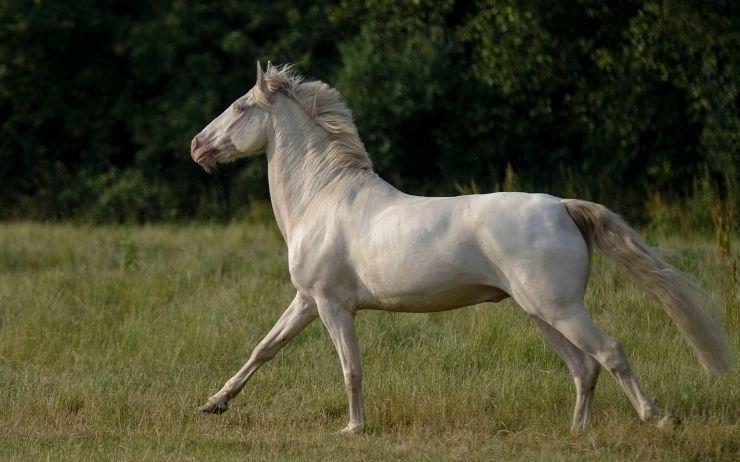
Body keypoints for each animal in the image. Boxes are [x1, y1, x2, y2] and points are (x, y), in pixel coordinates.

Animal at [189, 61, 728, 434]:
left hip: (561, 308)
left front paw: (353, 428)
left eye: (240, 107)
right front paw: (213, 404)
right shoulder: (306, 300)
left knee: (610, 353)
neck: (321, 197)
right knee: (584, 367)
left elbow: (351, 368)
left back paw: (658, 418)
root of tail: (562, 207)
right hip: (541, 312)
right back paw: (577, 433)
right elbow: (264, 349)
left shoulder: (331, 304)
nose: (196, 146)